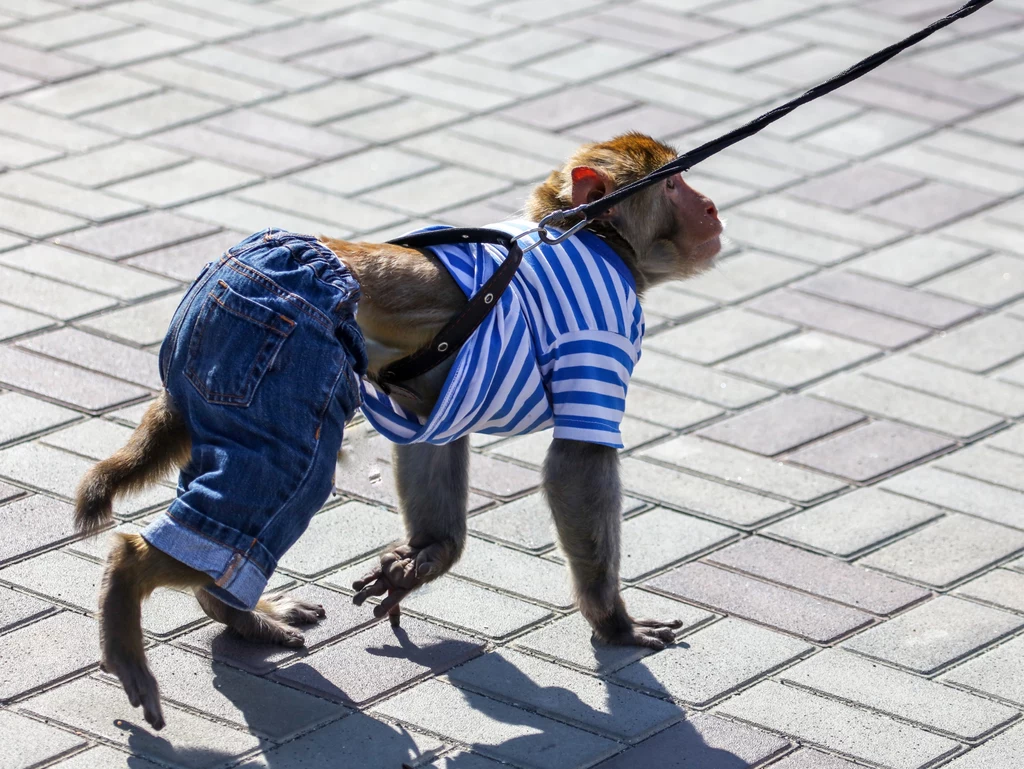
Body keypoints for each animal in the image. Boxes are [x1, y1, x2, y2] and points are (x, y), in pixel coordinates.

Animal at [72, 134, 724, 733]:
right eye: (673, 184)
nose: (712, 206)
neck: (588, 236)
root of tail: (229, 269)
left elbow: (433, 435)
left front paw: (426, 556)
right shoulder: (599, 332)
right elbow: (577, 463)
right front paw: (614, 623)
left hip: (220, 373)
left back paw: (234, 610)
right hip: (274, 350)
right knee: (278, 483)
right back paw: (132, 582)